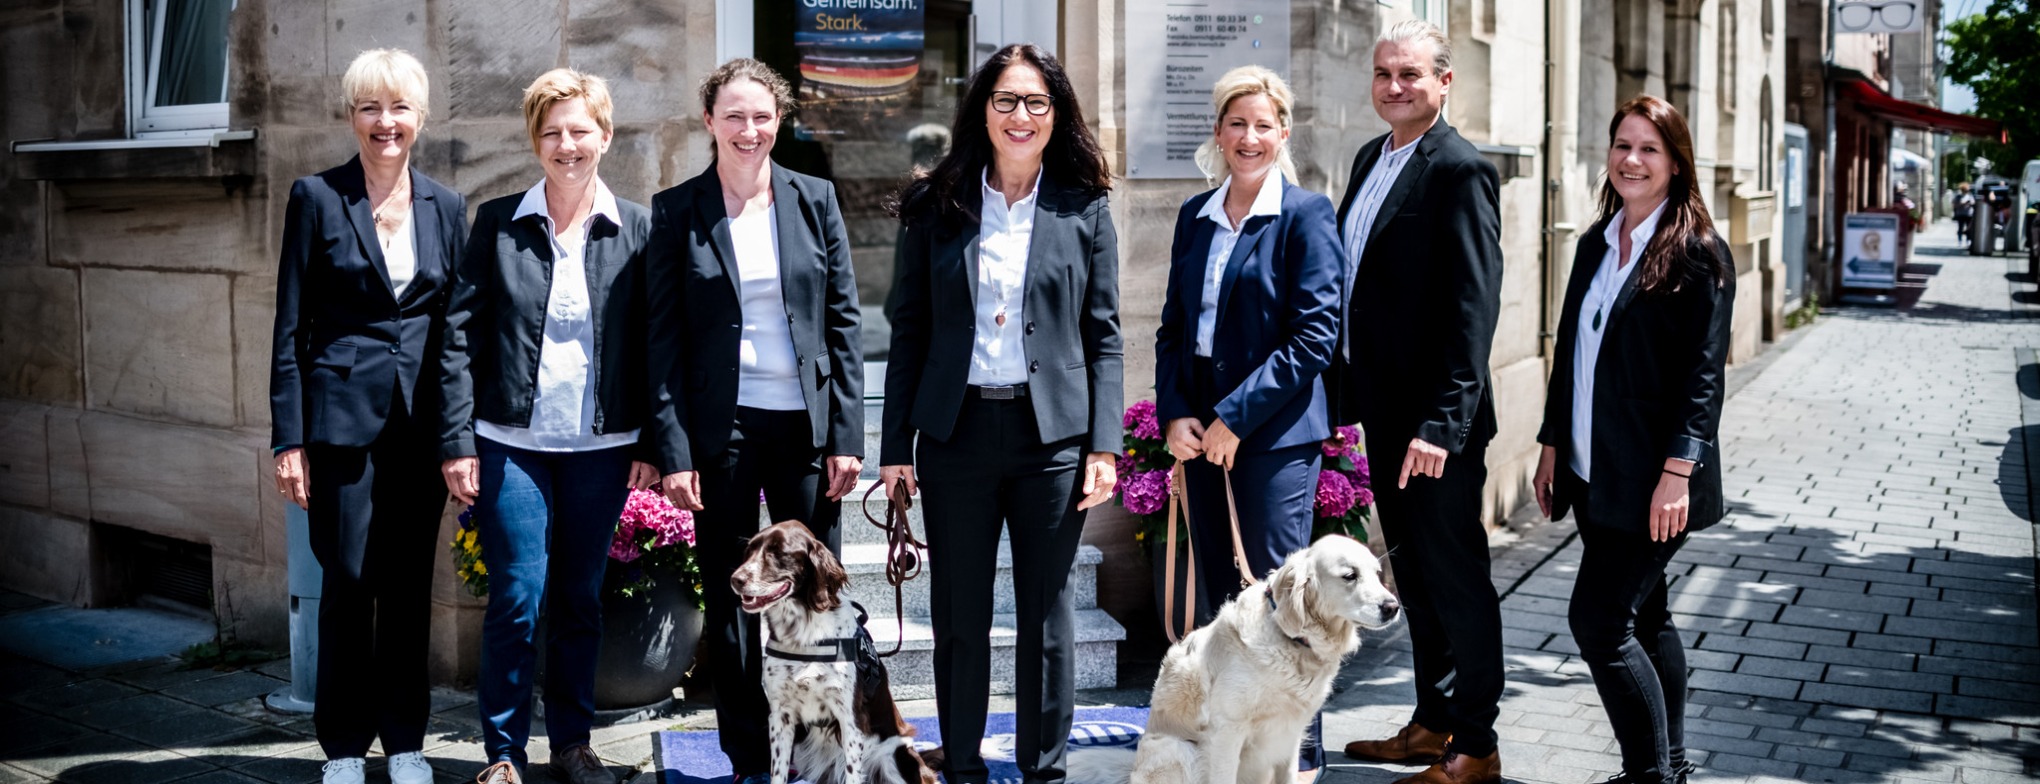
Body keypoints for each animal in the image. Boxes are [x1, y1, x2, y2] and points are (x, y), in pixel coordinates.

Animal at [730, 520, 942, 784]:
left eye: (778, 553)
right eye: (749, 551)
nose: (735, 579)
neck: (803, 635)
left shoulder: (850, 717)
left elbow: (853, 772)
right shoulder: (780, 715)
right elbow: (777, 772)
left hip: (896, 755)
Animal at [1077, 534, 1395, 784]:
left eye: (1377, 573)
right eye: (1350, 575)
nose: (1392, 607)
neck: (1293, 642)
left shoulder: (1290, 734)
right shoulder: (1227, 732)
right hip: (1178, 748)